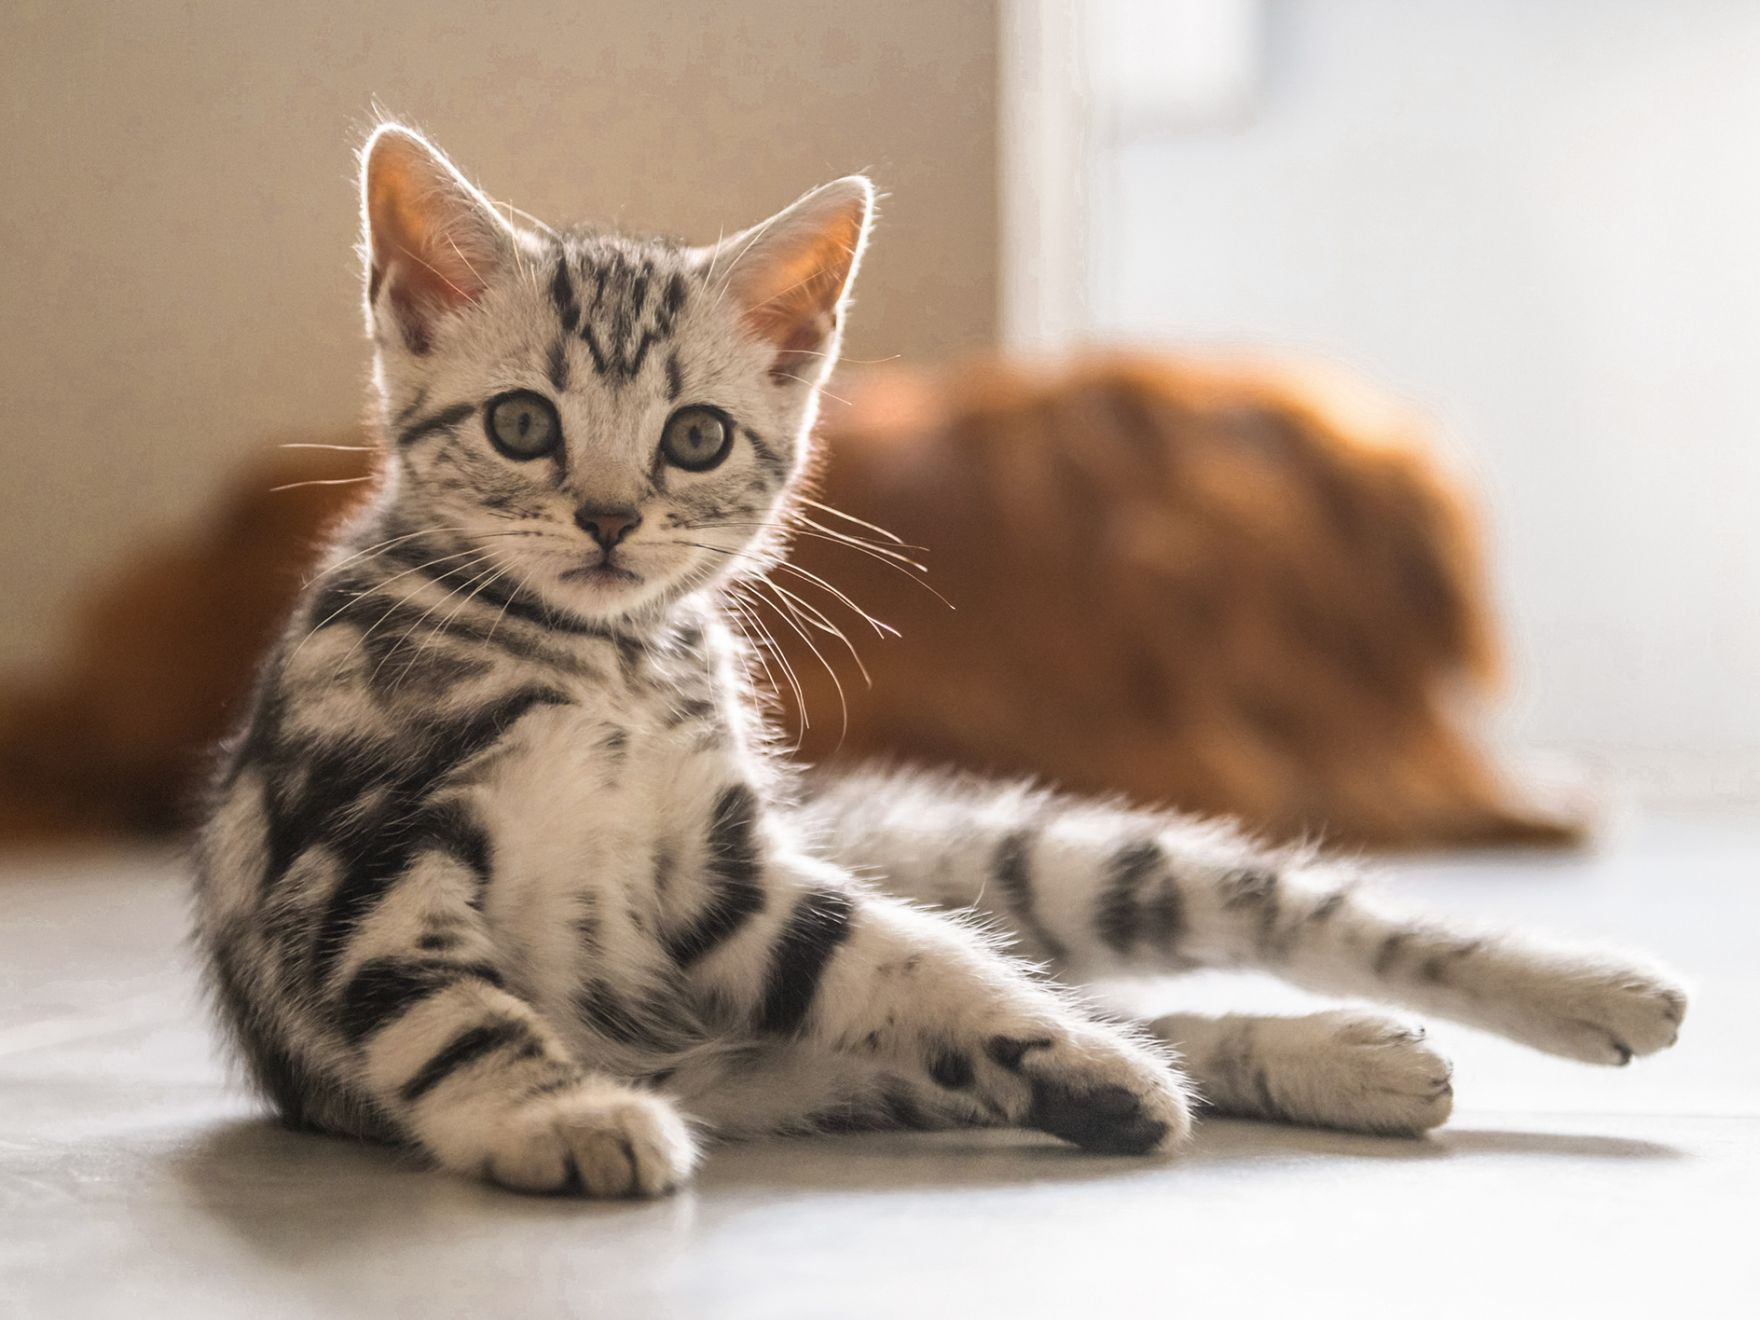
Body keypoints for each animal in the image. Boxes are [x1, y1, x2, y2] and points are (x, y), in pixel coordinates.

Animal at [185, 126, 1682, 1196]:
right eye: (519, 423)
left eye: (695, 439)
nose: (608, 519)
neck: (602, 664)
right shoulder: (361, 860)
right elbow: (455, 1009)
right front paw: (559, 1111)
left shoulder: (723, 882)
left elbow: (914, 965)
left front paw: (1076, 1060)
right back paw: (1296, 1064)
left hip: (1043, 859)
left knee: (1267, 917)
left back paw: (1577, 993)